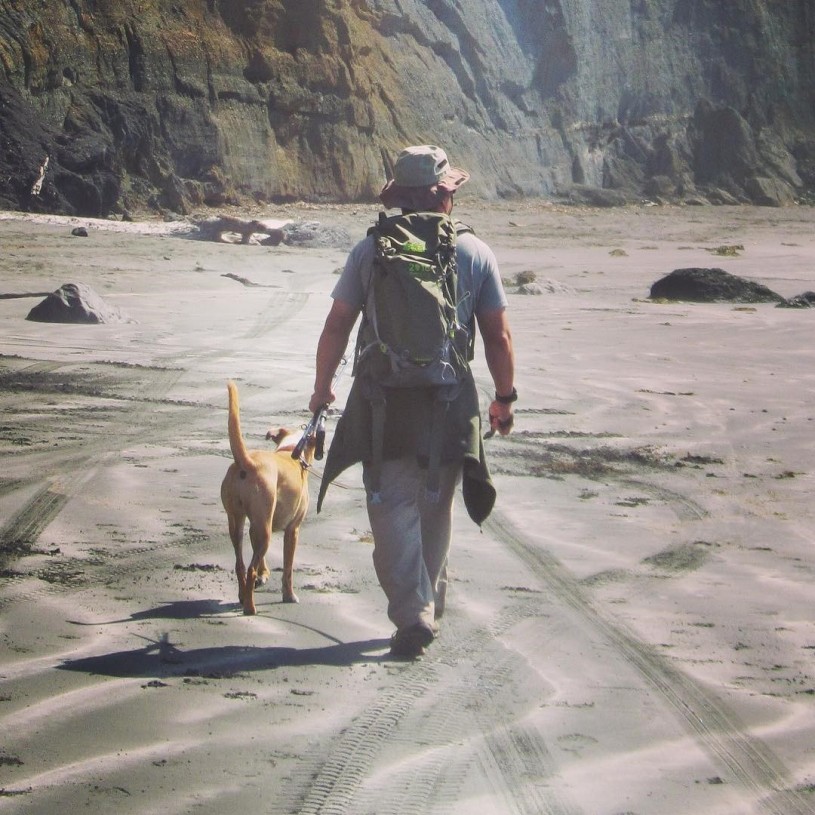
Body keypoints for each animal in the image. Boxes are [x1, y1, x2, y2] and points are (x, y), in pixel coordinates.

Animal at [220, 380, 316, 612]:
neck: (291, 451)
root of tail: (247, 462)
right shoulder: (293, 530)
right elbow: (288, 568)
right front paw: (289, 595)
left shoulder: (261, 524)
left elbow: (261, 557)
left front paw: (264, 575)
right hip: (263, 529)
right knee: (250, 568)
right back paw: (249, 608)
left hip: (238, 521)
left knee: (240, 564)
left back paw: (243, 595)